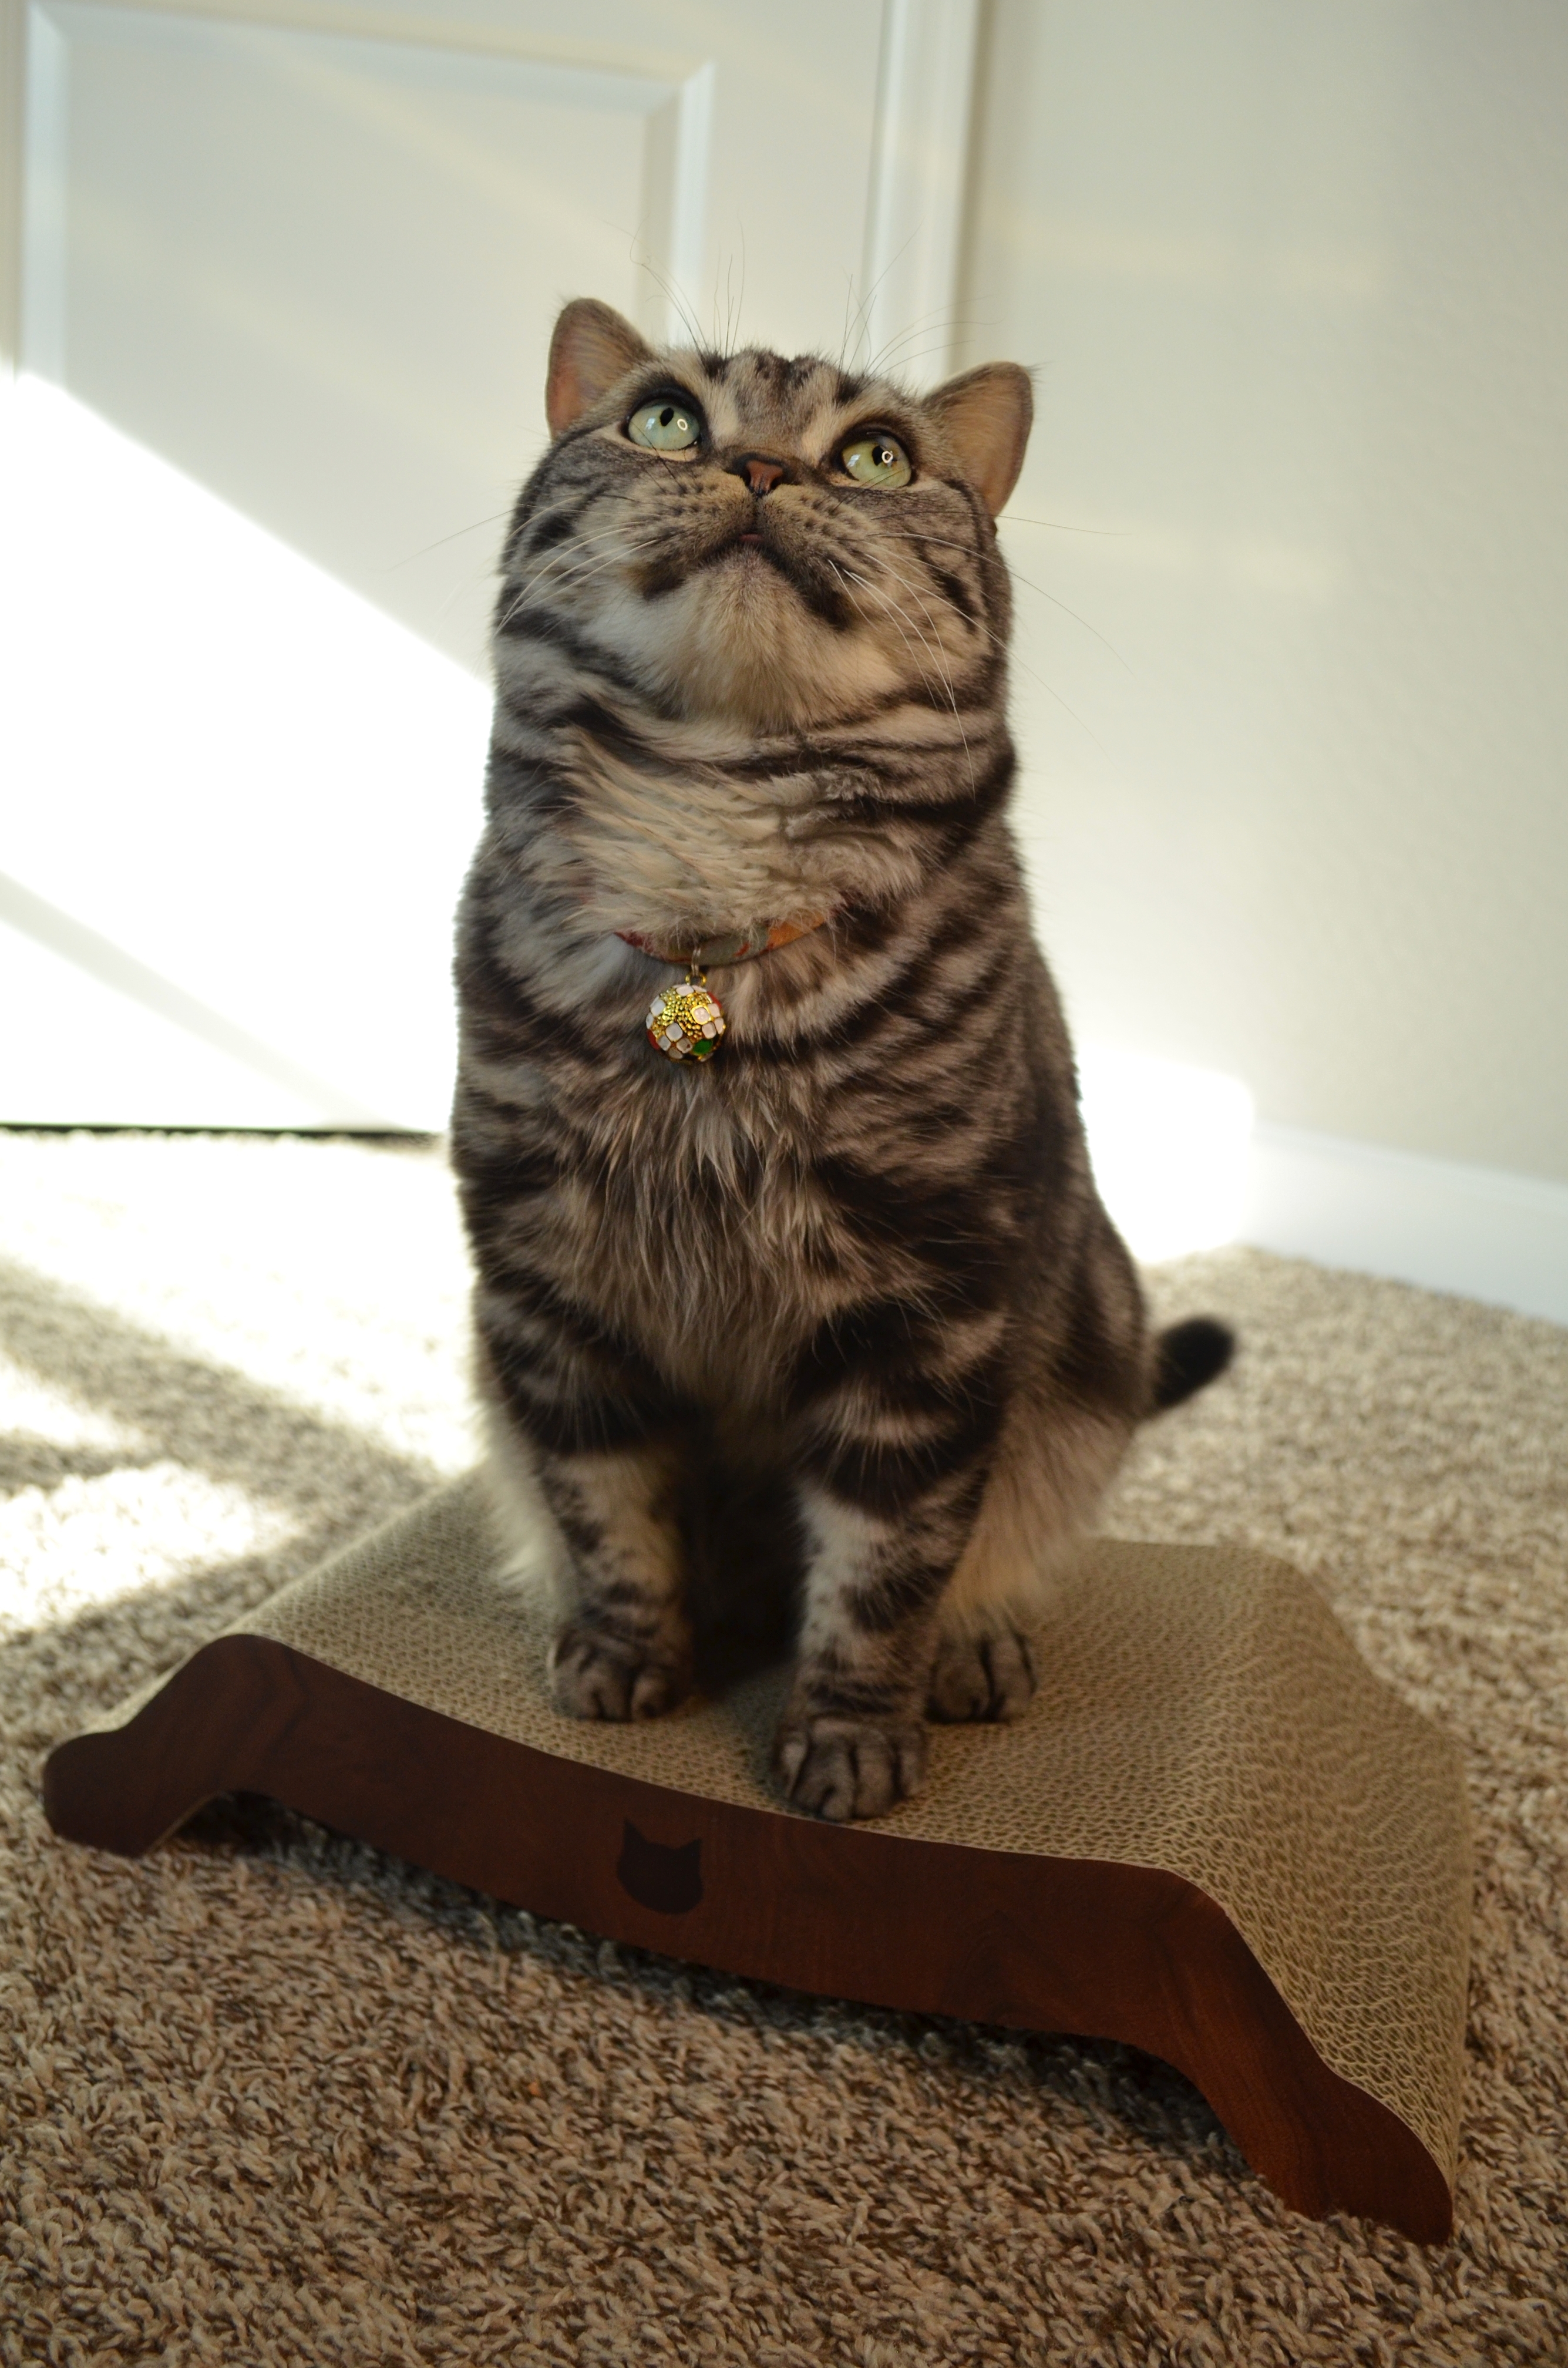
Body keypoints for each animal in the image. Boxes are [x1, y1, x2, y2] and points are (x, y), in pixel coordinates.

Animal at [447, 291, 1231, 1809]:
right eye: (663, 419)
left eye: (875, 456)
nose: (758, 467)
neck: (708, 896)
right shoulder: (548, 1288)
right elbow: (605, 1509)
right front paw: (625, 1653)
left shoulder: (930, 1310)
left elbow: (885, 1563)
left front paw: (852, 1737)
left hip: (1089, 1350)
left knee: (997, 1553)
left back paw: (973, 1652)